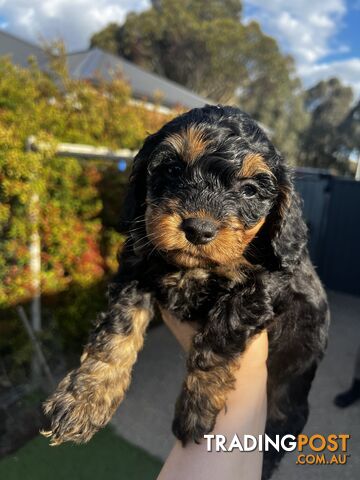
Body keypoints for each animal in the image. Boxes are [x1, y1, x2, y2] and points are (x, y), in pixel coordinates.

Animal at [42, 107, 330, 478]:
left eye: (250, 191)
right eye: (173, 169)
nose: (199, 229)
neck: (192, 267)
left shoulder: (267, 285)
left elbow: (219, 337)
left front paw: (197, 407)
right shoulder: (137, 270)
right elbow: (116, 332)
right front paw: (84, 399)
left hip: (288, 397)